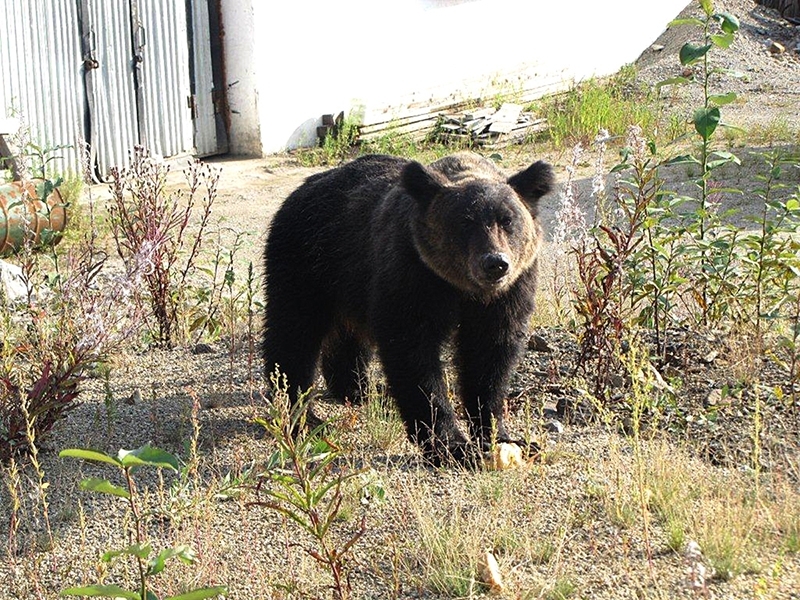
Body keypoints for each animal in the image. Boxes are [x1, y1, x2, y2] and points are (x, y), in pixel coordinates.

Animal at [266, 152, 552, 466]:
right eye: (465, 222)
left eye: (507, 220)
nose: (495, 263)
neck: (463, 289)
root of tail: (306, 185)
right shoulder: (411, 274)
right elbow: (414, 356)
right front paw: (451, 445)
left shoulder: (508, 293)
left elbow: (490, 357)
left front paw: (503, 437)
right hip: (309, 262)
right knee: (294, 334)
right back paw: (301, 415)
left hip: (350, 282)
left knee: (347, 338)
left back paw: (363, 390)